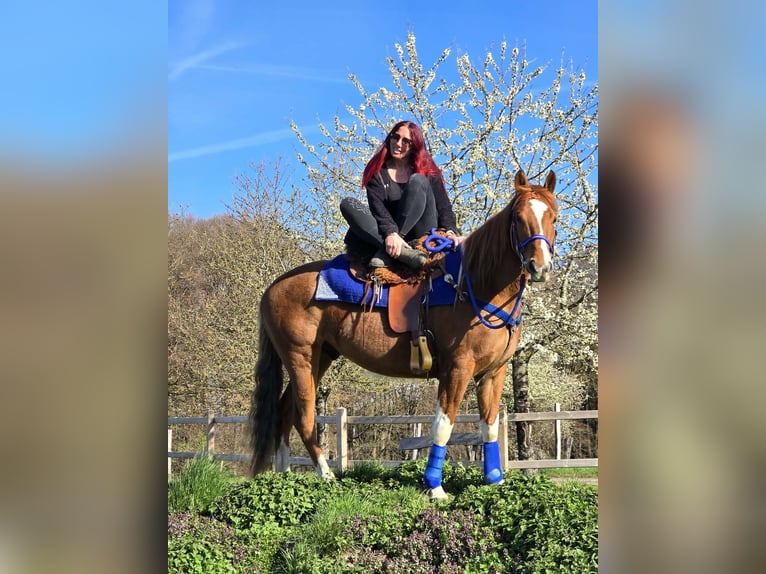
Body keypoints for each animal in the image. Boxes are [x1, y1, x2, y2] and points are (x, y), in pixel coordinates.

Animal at [249, 169, 558, 500]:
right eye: (518, 218)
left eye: (554, 217)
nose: (539, 266)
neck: (474, 284)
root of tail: (272, 287)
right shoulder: (457, 369)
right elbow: (443, 425)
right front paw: (435, 487)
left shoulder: (493, 372)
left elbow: (488, 425)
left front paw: (495, 482)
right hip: (300, 356)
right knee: (303, 416)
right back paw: (326, 475)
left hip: (322, 356)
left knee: (284, 412)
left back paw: (284, 477)